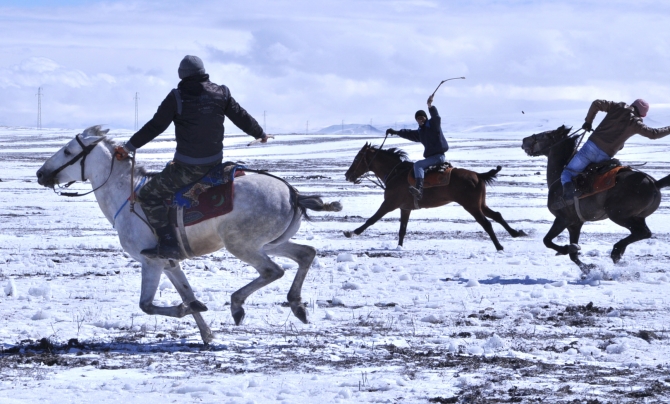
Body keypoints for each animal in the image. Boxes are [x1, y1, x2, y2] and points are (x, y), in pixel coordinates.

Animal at [36, 126, 342, 344]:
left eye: (67, 152)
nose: (41, 174)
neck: (127, 195)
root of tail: (293, 194)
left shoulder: (152, 261)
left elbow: (147, 305)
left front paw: (188, 312)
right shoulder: (170, 263)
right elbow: (187, 294)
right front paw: (207, 334)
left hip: (243, 245)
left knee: (272, 271)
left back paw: (238, 306)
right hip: (271, 243)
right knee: (306, 254)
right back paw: (297, 306)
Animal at [344, 142, 528, 249]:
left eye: (357, 158)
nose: (348, 175)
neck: (395, 173)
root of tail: (478, 175)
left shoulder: (389, 204)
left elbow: (372, 219)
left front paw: (352, 232)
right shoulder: (405, 208)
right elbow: (402, 229)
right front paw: (399, 247)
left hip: (471, 206)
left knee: (487, 223)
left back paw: (499, 246)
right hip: (480, 204)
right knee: (497, 215)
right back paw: (515, 233)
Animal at [524, 124, 670, 274]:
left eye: (545, 135)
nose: (524, 140)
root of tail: (654, 183)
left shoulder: (563, 219)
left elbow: (547, 241)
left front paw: (567, 249)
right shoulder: (575, 224)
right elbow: (573, 255)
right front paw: (587, 267)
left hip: (618, 215)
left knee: (642, 232)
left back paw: (616, 251)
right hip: (637, 217)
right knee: (644, 232)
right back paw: (618, 252)